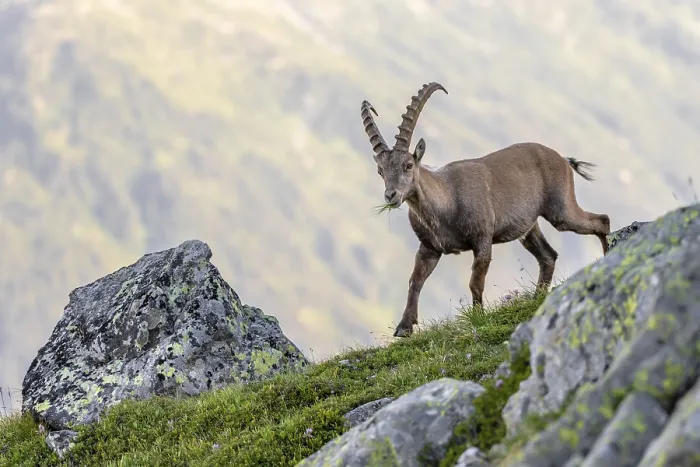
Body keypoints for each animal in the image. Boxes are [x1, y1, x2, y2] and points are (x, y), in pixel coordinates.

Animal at [361, 82, 611, 337]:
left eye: (408, 165)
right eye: (381, 171)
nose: (390, 196)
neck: (447, 201)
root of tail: (563, 159)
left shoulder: (482, 239)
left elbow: (475, 283)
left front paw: (478, 318)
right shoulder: (429, 248)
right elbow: (415, 282)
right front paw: (404, 327)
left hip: (561, 210)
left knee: (601, 220)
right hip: (528, 228)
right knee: (548, 255)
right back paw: (538, 296)